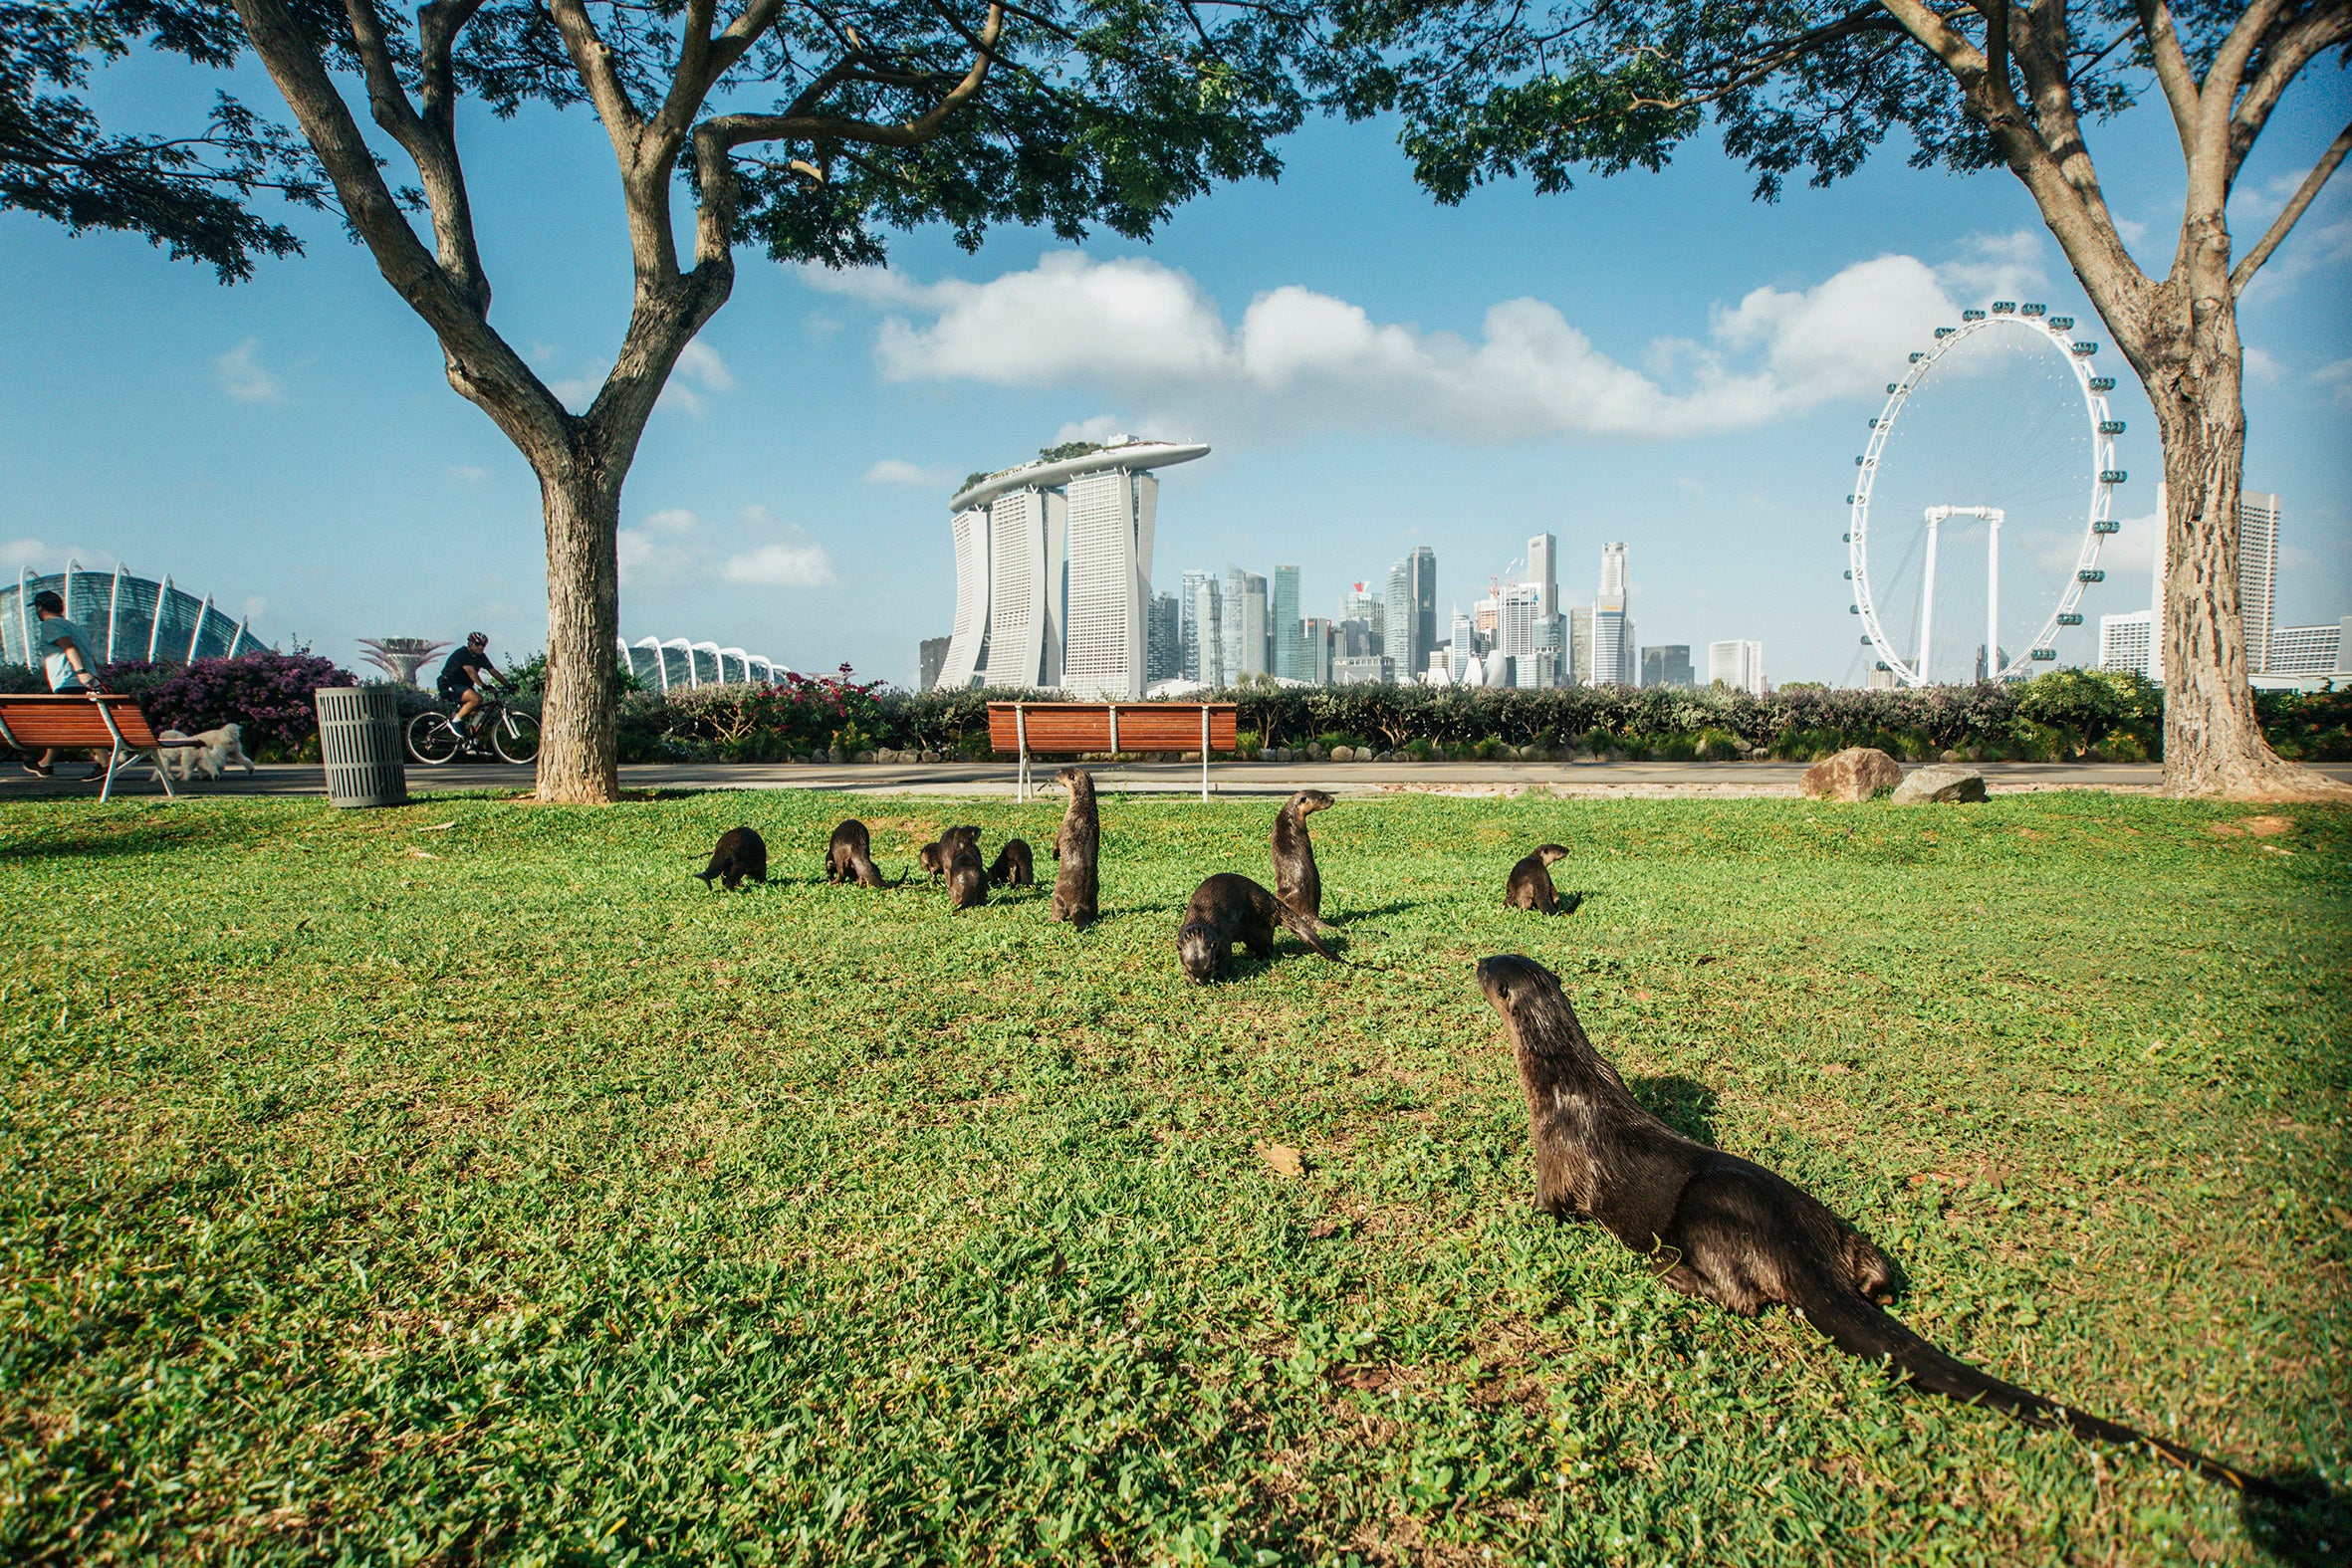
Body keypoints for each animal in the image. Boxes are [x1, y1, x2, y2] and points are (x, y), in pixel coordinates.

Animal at [1049, 767, 1099, 926]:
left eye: (1061, 771)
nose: (1055, 772)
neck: (1082, 808)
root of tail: (1079, 905)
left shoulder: (1064, 824)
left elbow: (1056, 843)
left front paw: (1054, 855)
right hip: (1094, 899)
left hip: (1057, 896)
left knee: (1059, 910)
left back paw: (1051, 919)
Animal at [1177, 872, 1339, 982]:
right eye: (1190, 971)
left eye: (1209, 968)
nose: (1201, 981)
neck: (1201, 917)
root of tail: (1273, 903)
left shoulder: (1222, 939)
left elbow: (1226, 959)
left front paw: (1222, 977)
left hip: (1257, 930)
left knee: (1269, 949)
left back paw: (1256, 958)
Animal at [1474, 952, 2282, 1497]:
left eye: (1492, 969)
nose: (1475, 957)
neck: (1565, 1077)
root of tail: (1798, 1244)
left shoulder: (1556, 1156)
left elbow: (1546, 1207)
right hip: (1830, 1223)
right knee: (1872, 1270)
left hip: (1707, 1212)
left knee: (1741, 1296)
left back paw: (1667, 1269)